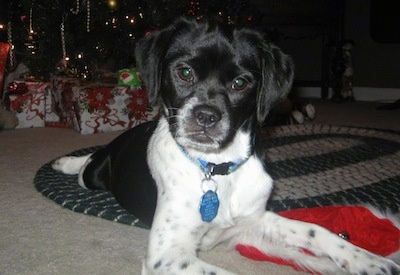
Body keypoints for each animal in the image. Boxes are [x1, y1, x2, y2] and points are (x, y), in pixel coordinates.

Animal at [53, 17, 400, 275]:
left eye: (240, 83)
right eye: (184, 72)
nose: (206, 116)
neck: (216, 169)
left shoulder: (255, 218)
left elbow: (317, 231)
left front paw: (368, 260)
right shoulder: (166, 255)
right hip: (95, 175)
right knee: (88, 162)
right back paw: (65, 162)